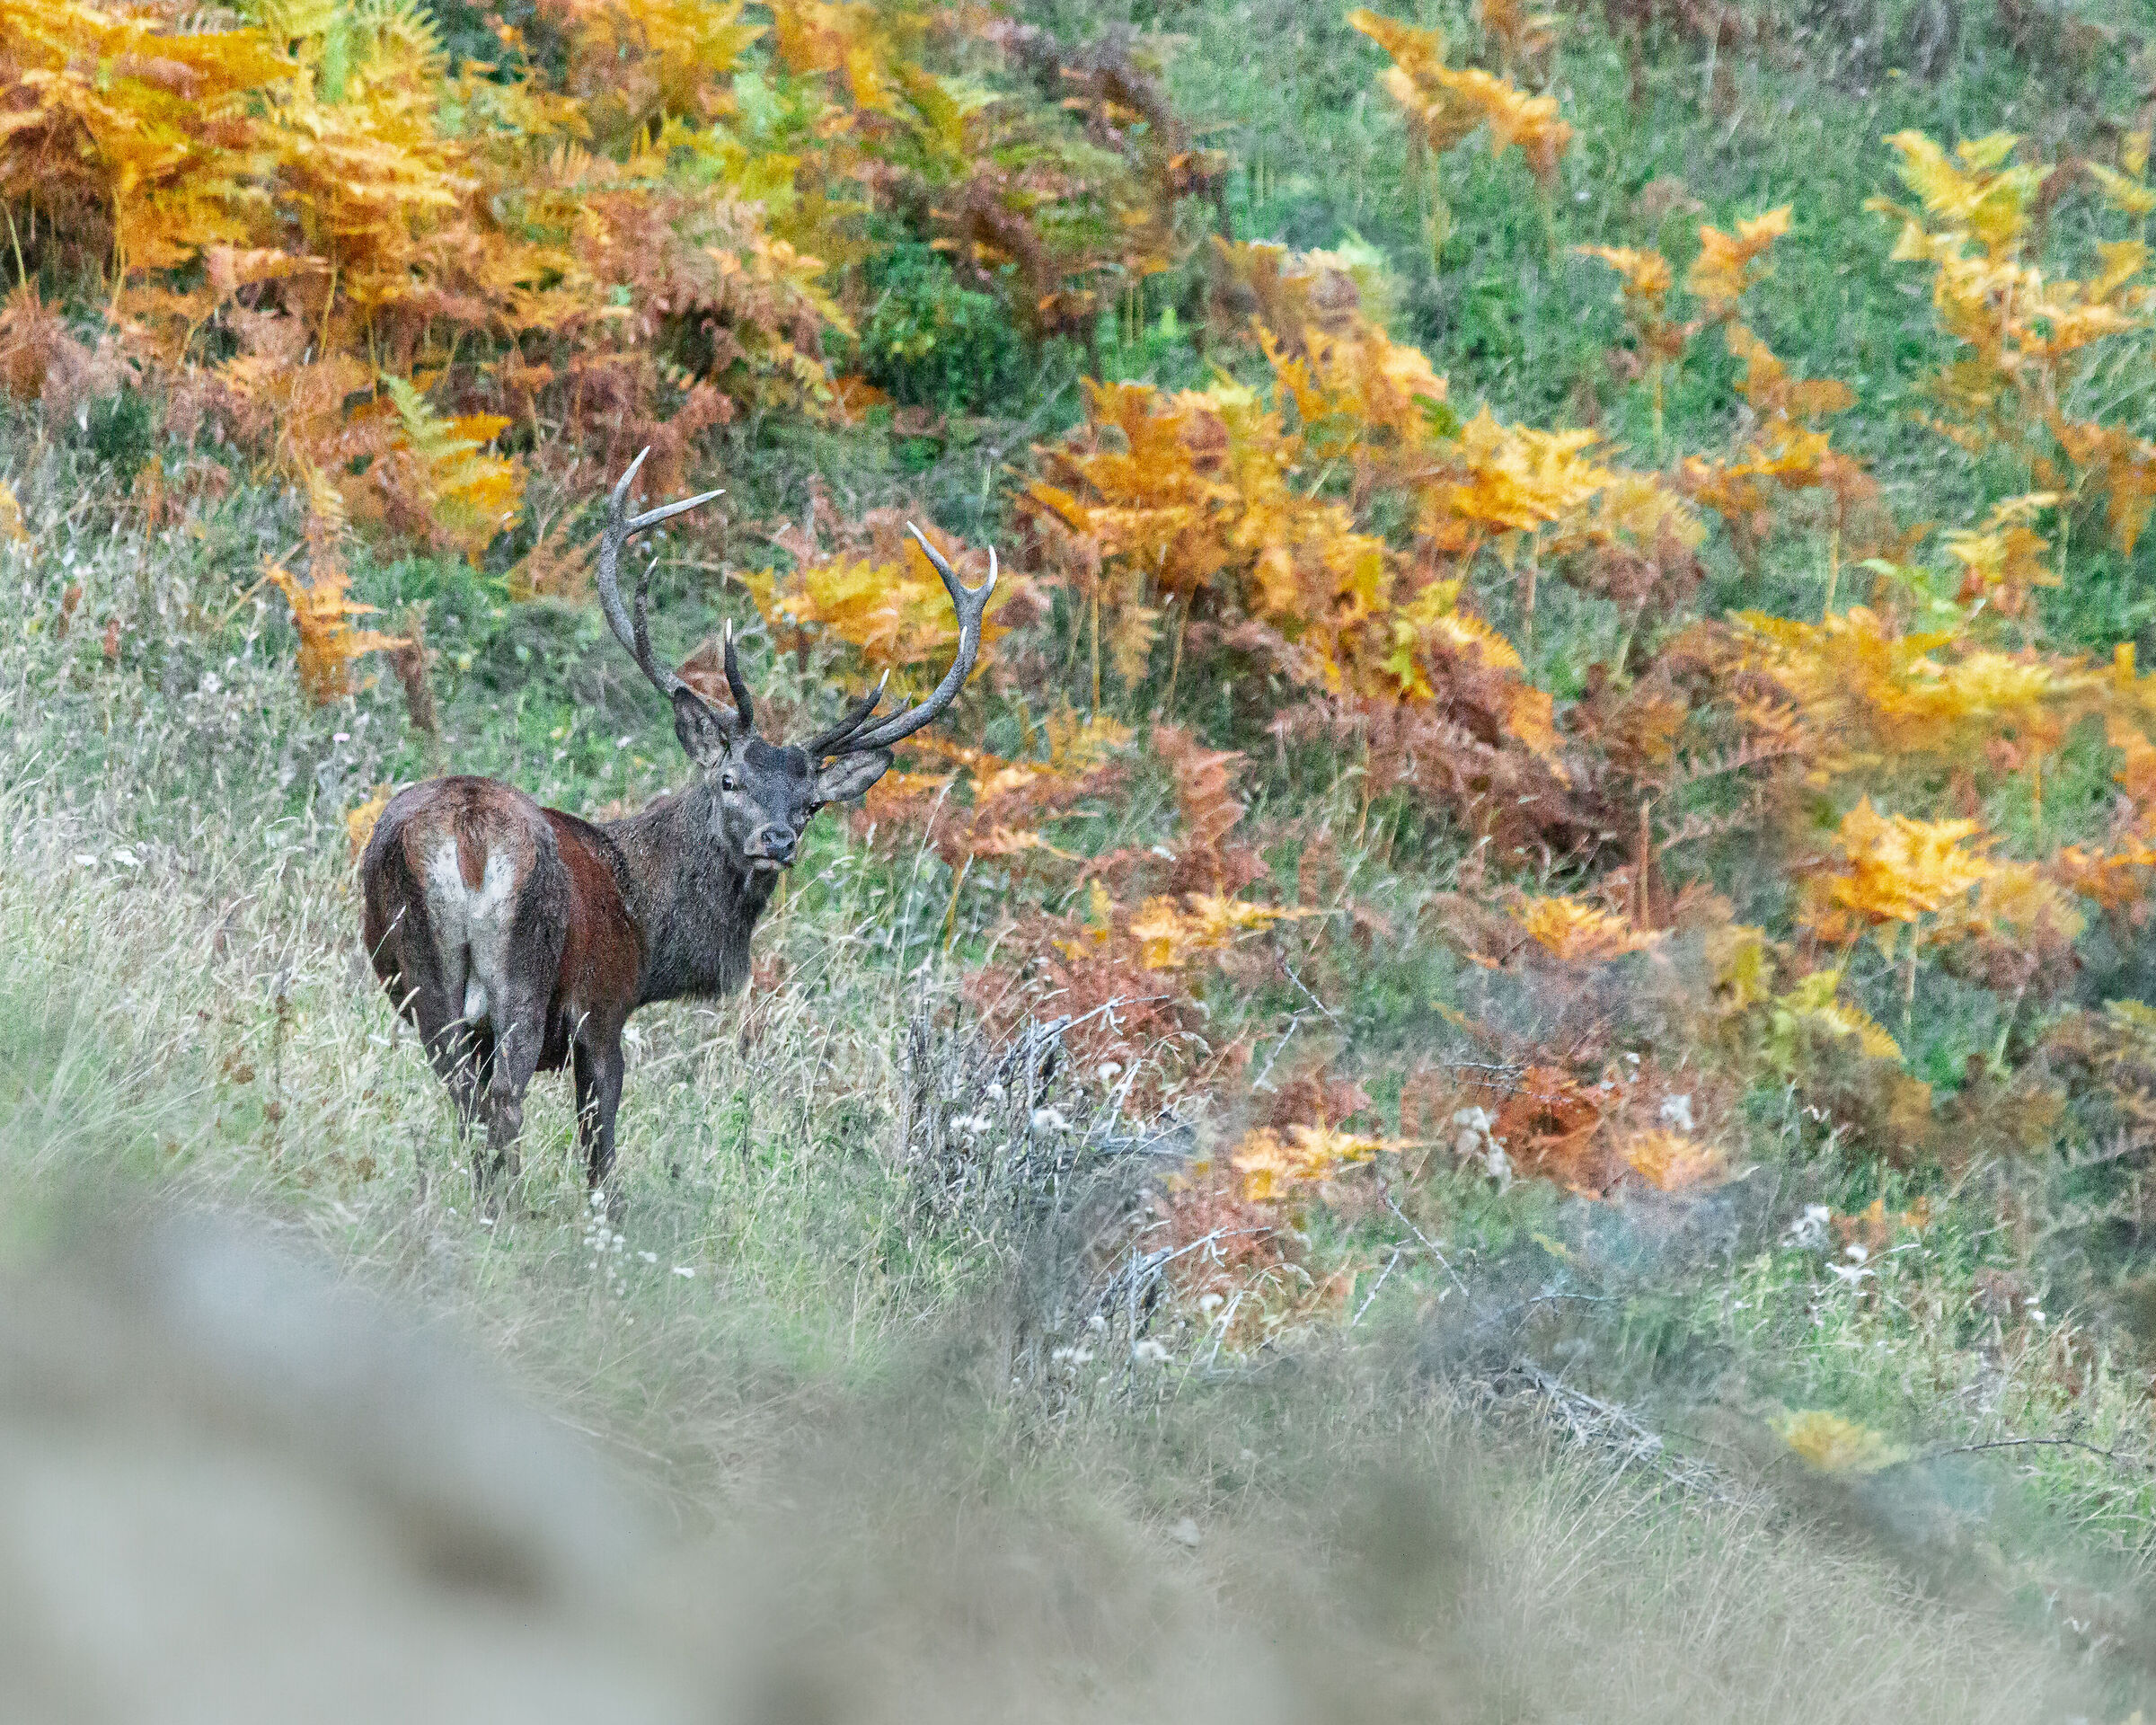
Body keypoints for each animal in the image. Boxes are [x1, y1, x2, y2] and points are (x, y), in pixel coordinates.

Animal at [359, 450, 994, 1211]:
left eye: (810, 803)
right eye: (730, 781)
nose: (777, 840)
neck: (650, 932)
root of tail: (470, 834)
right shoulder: (601, 1010)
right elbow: (600, 1153)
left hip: (421, 975)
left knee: (465, 1102)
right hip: (525, 971)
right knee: (504, 1104)